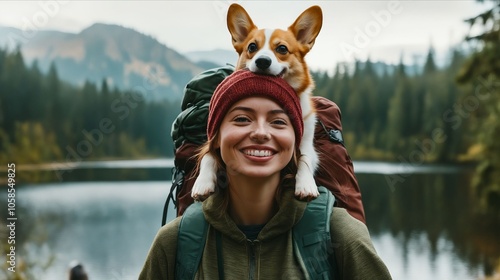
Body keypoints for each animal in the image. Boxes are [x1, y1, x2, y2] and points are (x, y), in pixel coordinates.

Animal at [191, 2, 324, 199]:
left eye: (282, 49)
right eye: (252, 47)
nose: (262, 61)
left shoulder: (307, 143)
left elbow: (305, 159)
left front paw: (306, 184)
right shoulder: (214, 140)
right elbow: (207, 157)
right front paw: (203, 182)